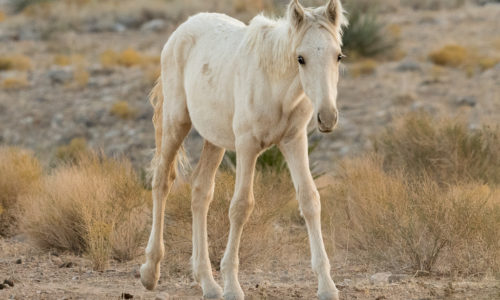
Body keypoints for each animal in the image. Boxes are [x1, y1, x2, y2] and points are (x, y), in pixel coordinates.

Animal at [141, 1, 348, 298]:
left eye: (338, 56)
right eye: (300, 58)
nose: (327, 118)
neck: (275, 87)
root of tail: (181, 30)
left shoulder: (294, 141)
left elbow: (310, 200)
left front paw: (327, 287)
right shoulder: (247, 146)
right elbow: (241, 206)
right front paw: (232, 286)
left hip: (214, 139)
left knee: (200, 192)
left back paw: (208, 283)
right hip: (176, 122)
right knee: (162, 181)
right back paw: (150, 272)